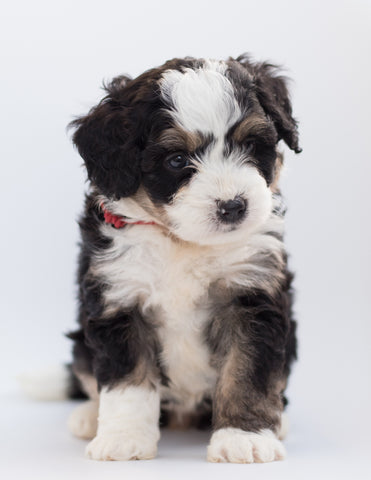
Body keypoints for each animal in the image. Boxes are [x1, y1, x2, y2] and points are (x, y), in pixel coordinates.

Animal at [67, 54, 302, 464]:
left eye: (251, 144)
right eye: (177, 160)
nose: (233, 207)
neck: (181, 241)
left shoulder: (251, 294)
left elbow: (247, 372)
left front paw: (244, 437)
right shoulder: (119, 298)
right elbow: (127, 381)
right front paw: (123, 439)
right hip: (81, 341)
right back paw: (87, 416)